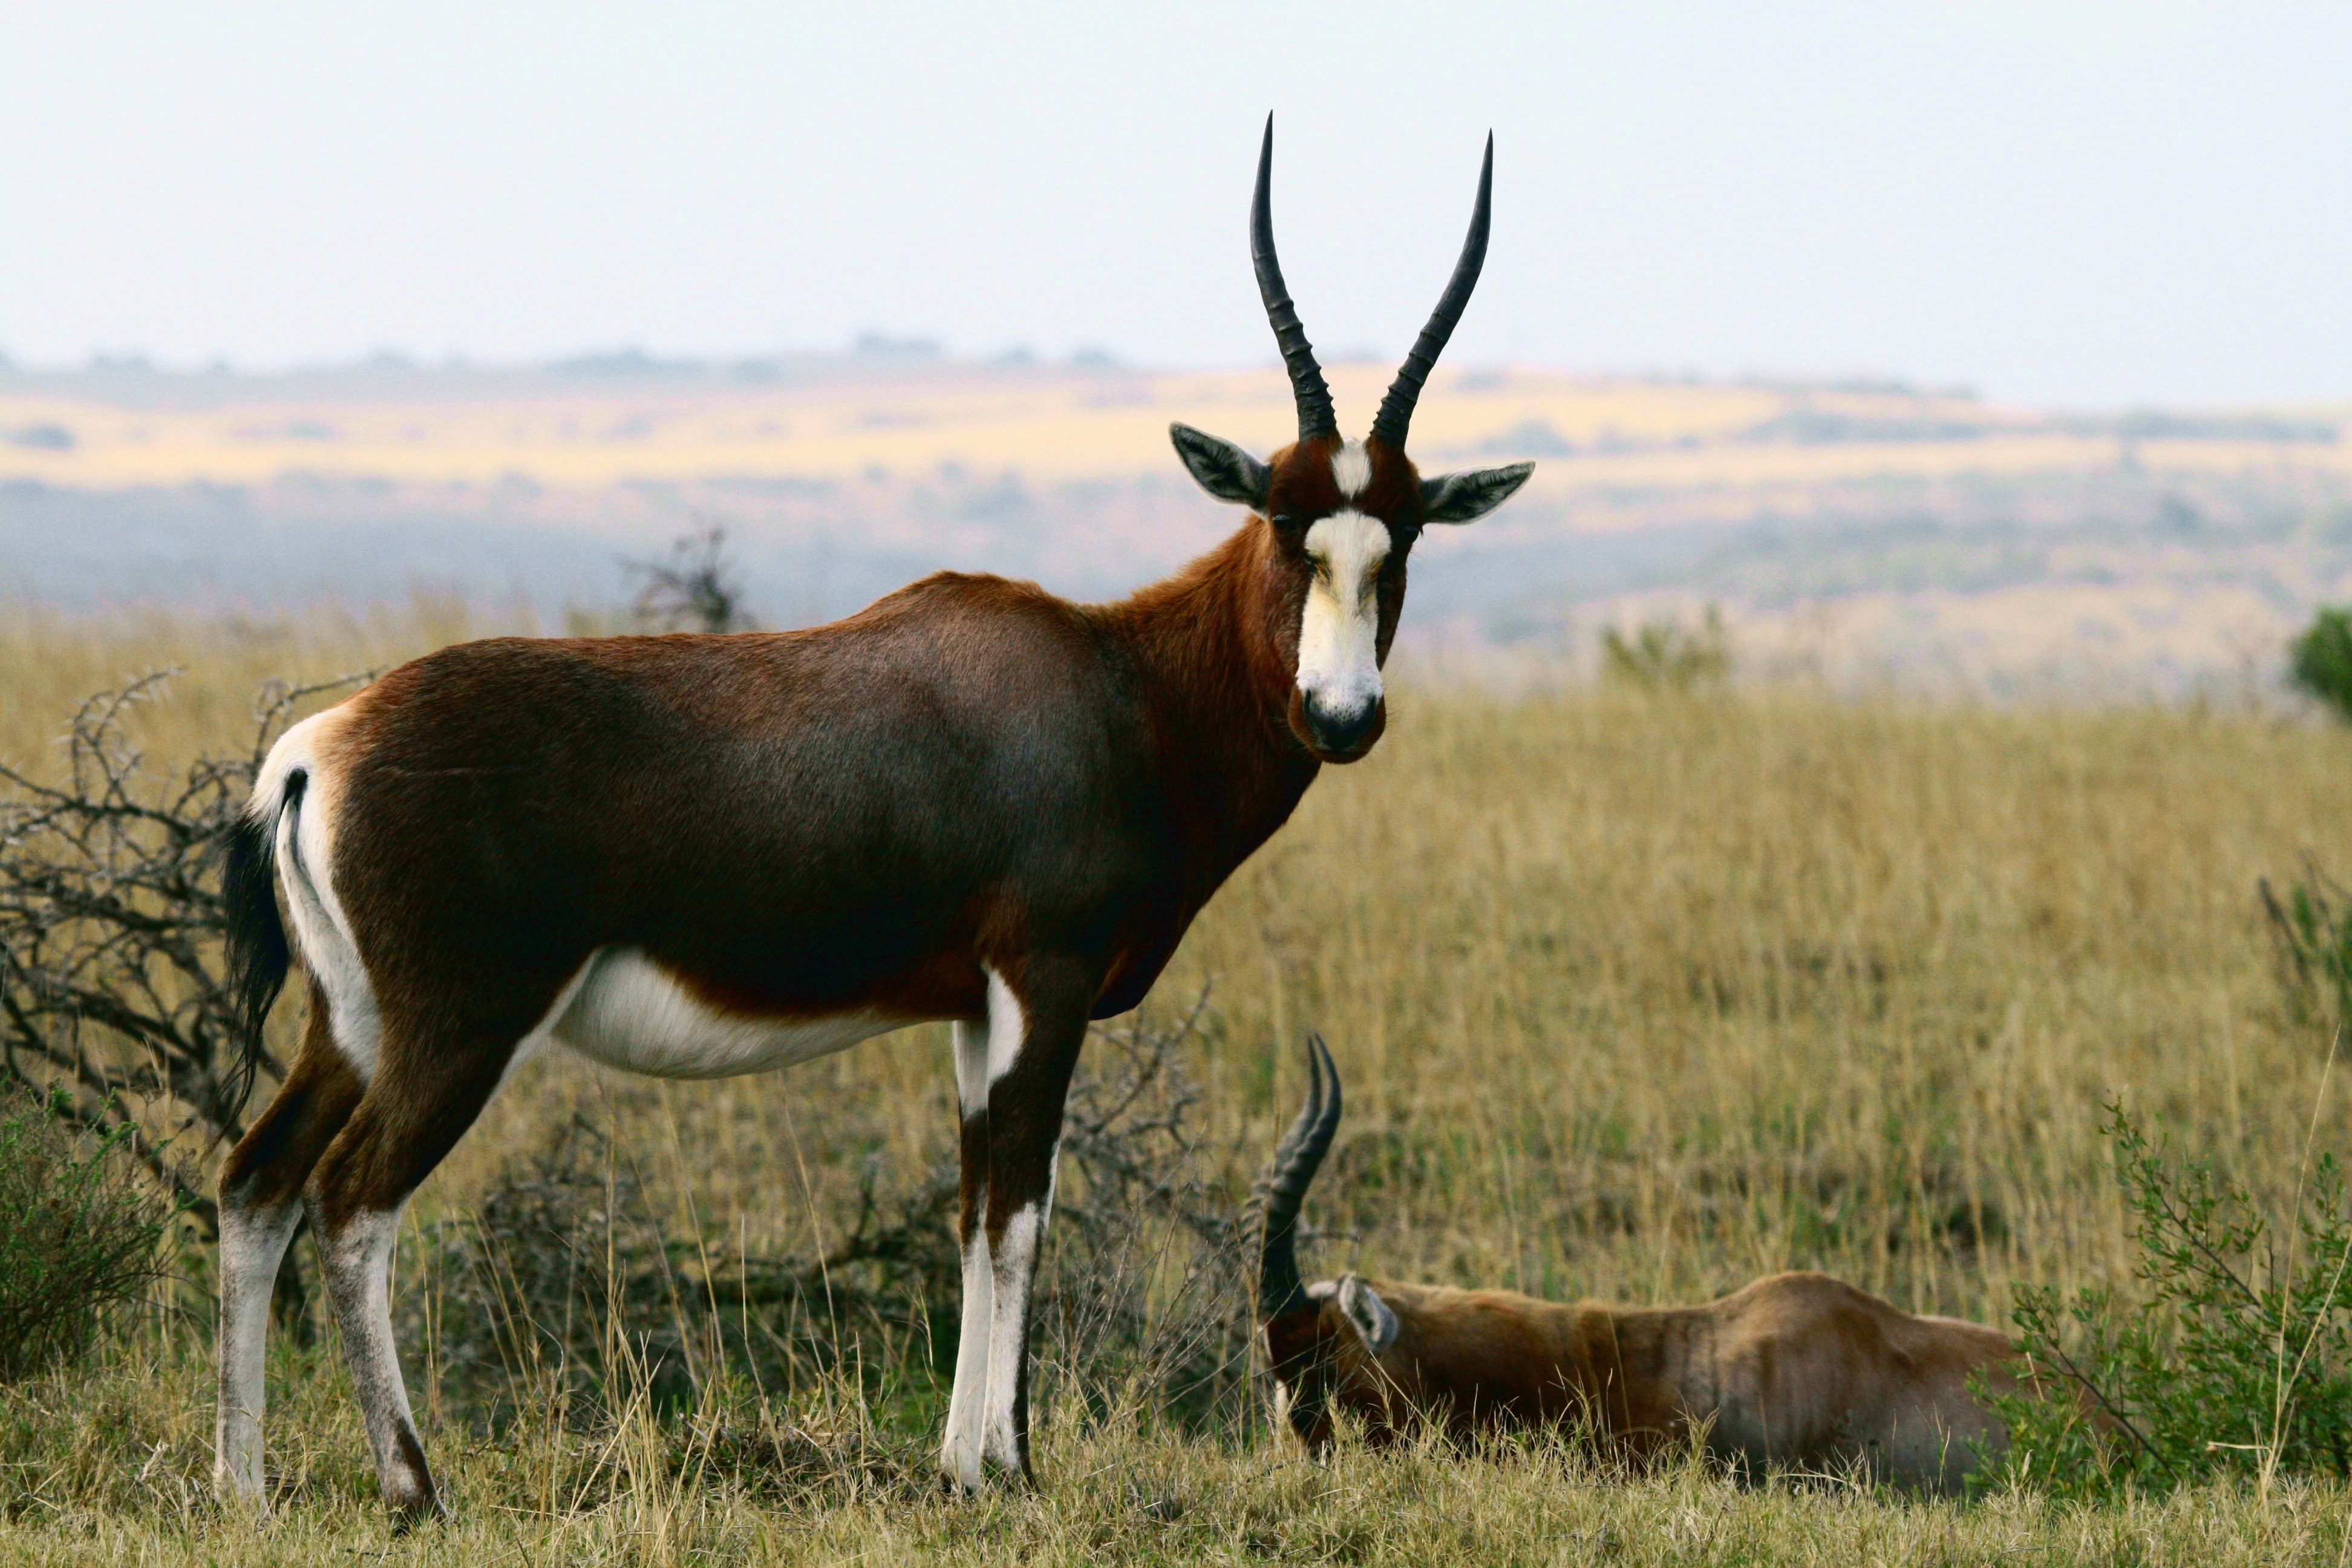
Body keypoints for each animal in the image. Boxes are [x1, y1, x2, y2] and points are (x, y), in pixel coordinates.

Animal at [211, 116, 1543, 1514]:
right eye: (1287, 523)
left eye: (1402, 535)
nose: (1342, 715)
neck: (1117, 680)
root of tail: (319, 749)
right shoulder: (1045, 983)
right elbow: (1019, 1209)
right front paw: (1007, 1466)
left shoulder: (973, 1007)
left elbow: (972, 1211)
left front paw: (962, 1460)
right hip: (459, 1029)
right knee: (352, 1201)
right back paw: (414, 1485)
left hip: (351, 1025)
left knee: (257, 1182)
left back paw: (241, 1486)